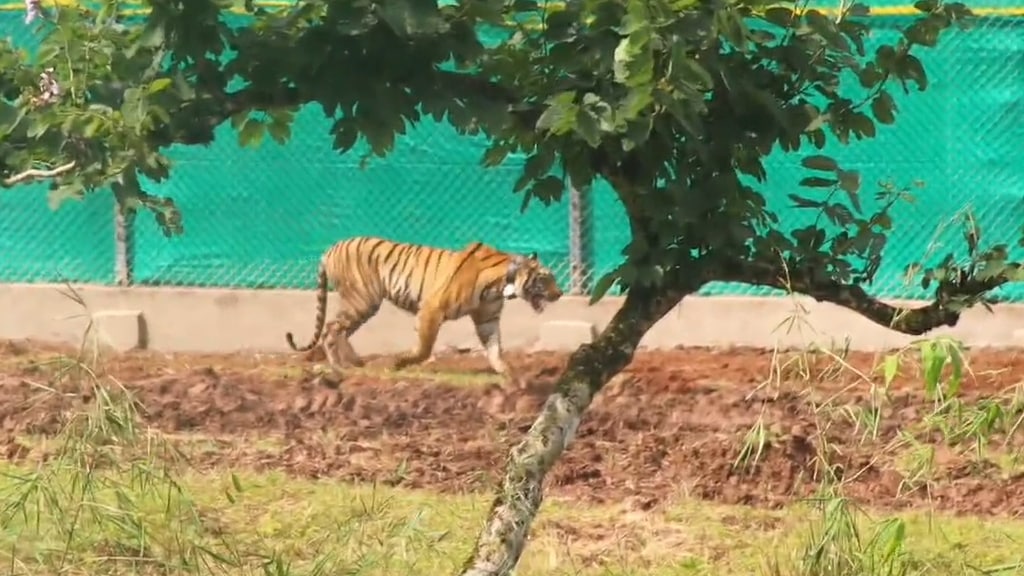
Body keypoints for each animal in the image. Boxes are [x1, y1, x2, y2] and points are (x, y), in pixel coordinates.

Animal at [284, 234, 565, 377]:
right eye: (545, 278)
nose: (560, 293)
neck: (502, 284)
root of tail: (329, 249)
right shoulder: (432, 308)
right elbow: (424, 346)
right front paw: (399, 363)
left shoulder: (487, 318)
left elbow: (495, 347)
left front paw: (506, 373)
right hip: (361, 299)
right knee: (332, 328)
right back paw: (339, 366)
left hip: (362, 304)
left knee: (342, 330)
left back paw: (355, 363)